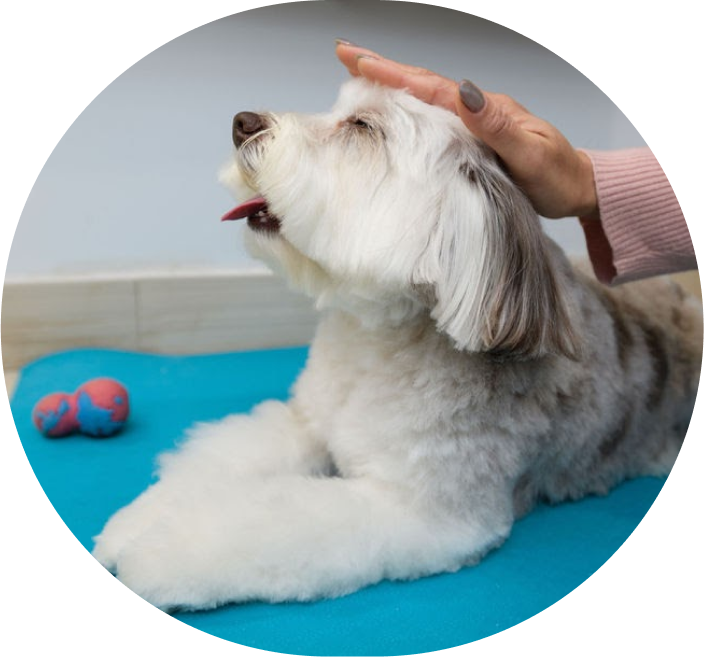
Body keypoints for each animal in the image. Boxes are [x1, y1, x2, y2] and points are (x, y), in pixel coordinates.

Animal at [92, 78, 702, 611]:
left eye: (362, 127)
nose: (242, 122)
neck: (374, 346)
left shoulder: (420, 510)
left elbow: (262, 520)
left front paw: (162, 553)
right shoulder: (307, 422)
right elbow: (225, 459)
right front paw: (140, 521)